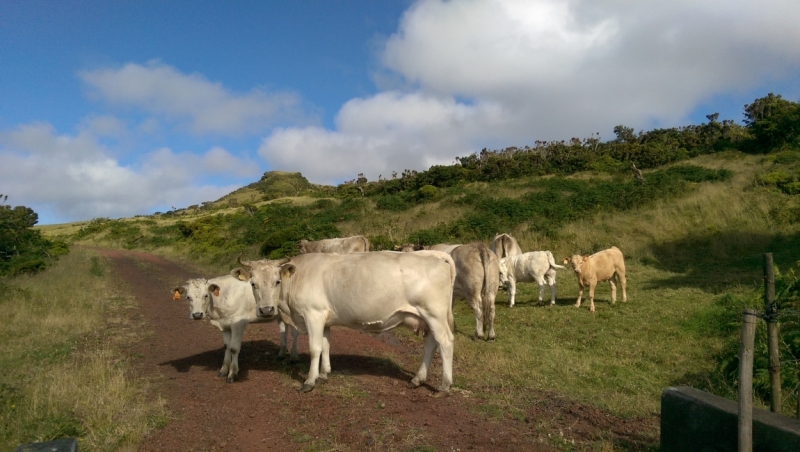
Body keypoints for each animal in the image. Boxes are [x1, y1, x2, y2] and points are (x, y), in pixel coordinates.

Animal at [247, 251, 456, 396]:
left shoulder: (313, 314)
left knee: (445, 343)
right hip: (426, 318)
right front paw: (324, 374)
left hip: (434, 314)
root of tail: (434, 255)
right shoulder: (325, 319)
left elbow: (315, 348)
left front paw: (309, 381)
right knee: (430, 344)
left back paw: (444, 386)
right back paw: (417, 379)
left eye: (277, 281)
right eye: (252, 283)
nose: (266, 310)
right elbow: (326, 345)